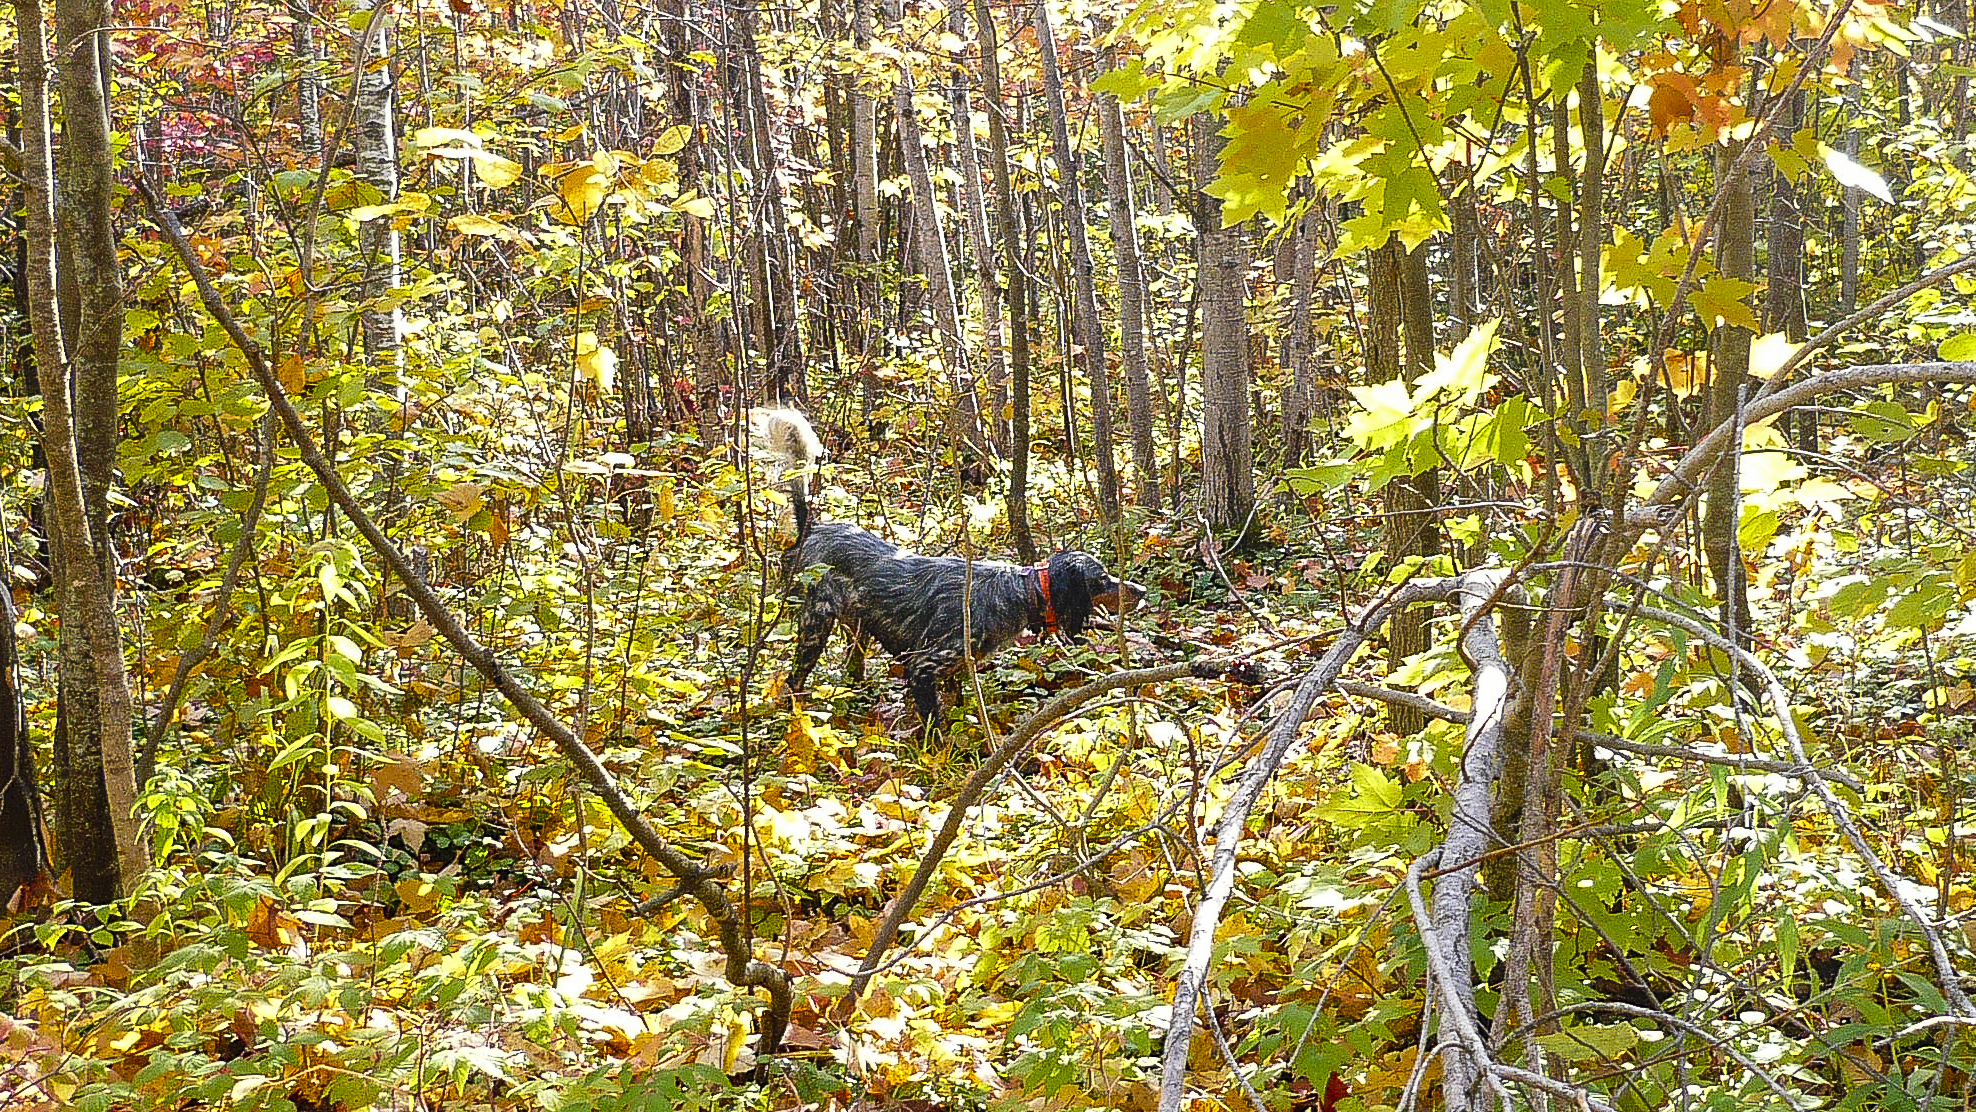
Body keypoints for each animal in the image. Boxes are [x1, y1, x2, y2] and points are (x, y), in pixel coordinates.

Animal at [746, 408, 1146, 730]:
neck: (1016, 591)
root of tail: (810, 527)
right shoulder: (923, 667)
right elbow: (935, 729)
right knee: (793, 682)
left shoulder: (954, 670)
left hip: (857, 629)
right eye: (1102, 579)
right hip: (815, 625)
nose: (1140, 591)